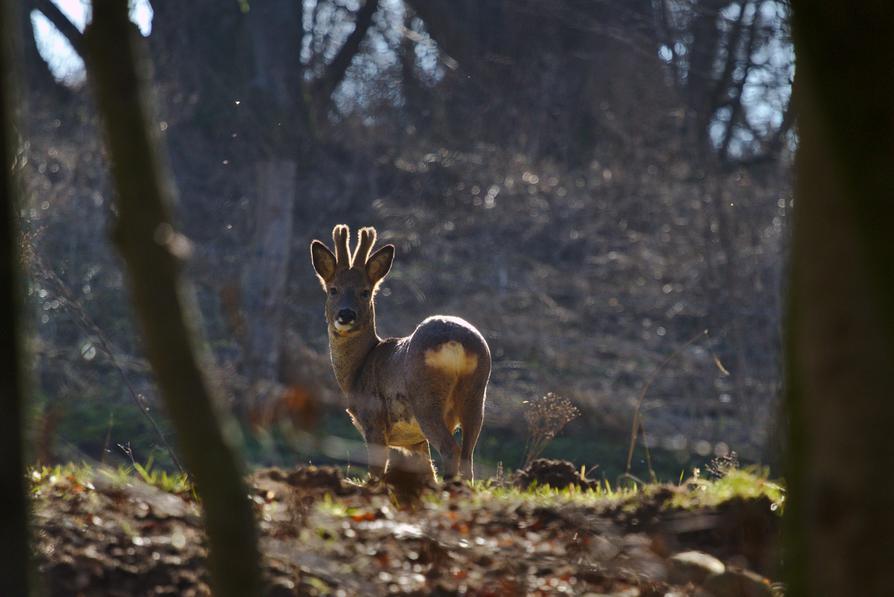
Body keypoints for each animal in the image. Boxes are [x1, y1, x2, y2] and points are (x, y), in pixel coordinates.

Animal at [312, 224, 494, 480]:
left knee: (451, 449)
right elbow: (427, 472)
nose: (346, 314)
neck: (356, 371)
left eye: (365, 292)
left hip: (426, 398)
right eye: (333, 290)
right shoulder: (414, 441)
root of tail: (454, 342)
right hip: (476, 395)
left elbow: (377, 472)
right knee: (468, 455)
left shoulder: (373, 419)